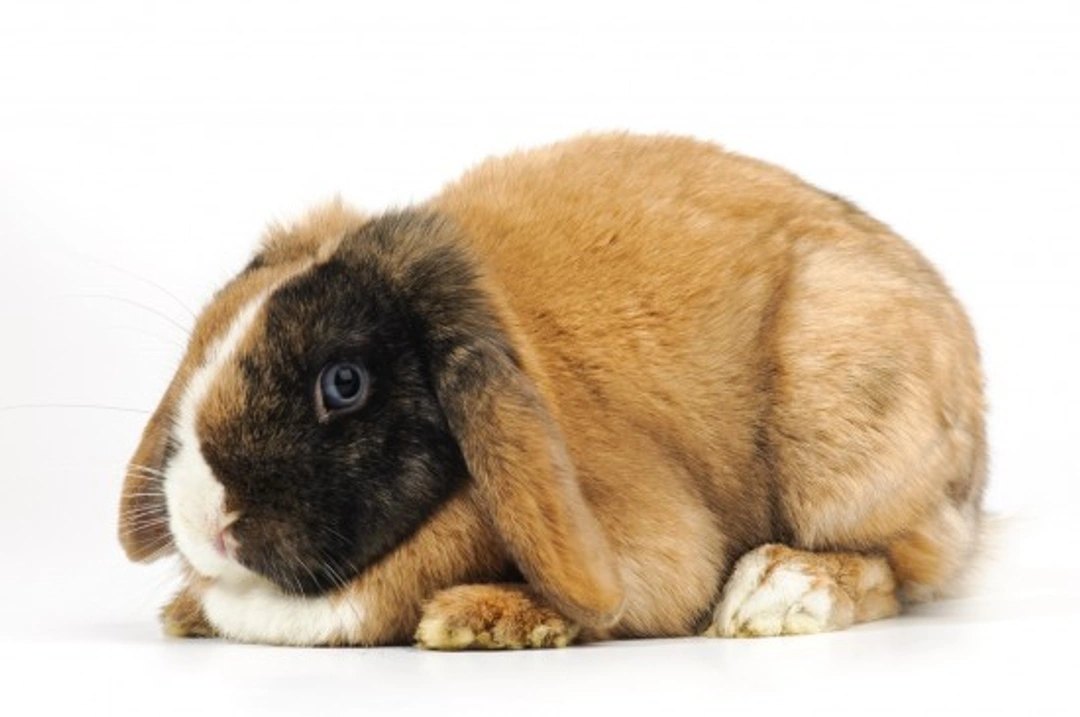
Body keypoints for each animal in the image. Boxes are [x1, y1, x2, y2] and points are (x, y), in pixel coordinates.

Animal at [118, 133, 986, 648]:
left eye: (344, 382)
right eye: (208, 337)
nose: (205, 522)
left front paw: (475, 616)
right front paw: (188, 608)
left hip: (840, 429)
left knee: (901, 567)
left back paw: (771, 596)